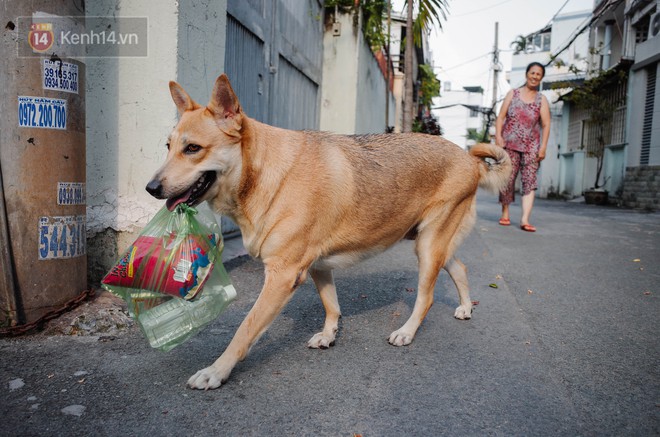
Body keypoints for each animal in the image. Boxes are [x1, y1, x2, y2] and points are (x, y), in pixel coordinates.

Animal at [147, 74, 512, 388]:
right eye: (167, 146)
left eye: (193, 149)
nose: (151, 188)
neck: (265, 172)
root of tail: (469, 159)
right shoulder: (317, 267)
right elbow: (331, 305)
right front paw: (329, 334)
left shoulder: (281, 276)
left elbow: (244, 330)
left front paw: (216, 371)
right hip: (430, 244)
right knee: (460, 267)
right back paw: (466, 307)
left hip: (428, 246)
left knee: (427, 296)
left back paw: (407, 331)